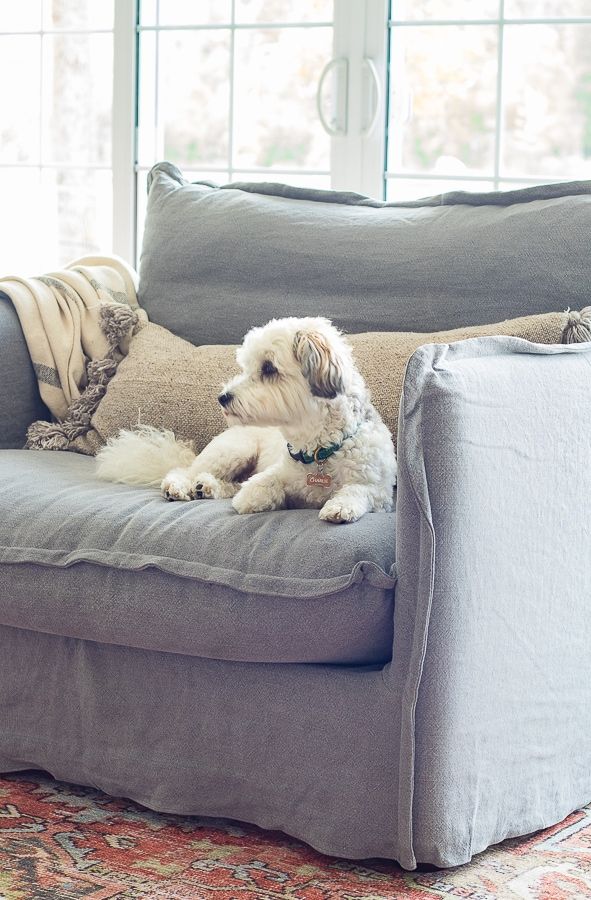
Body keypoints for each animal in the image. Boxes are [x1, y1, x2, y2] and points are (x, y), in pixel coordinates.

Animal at [98, 318, 398, 524]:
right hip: (233, 451)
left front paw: (340, 505)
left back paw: (206, 488)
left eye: (268, 368)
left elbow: (359, 490)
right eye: (247, 366)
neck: (318, 450)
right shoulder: (278, 472)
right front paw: (256, 497)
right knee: (185, 470)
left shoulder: (382, 493)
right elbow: (261, 487)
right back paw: (181, 487)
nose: (222, 397)